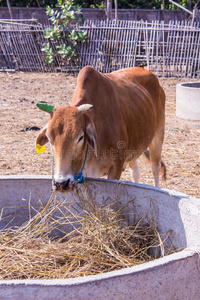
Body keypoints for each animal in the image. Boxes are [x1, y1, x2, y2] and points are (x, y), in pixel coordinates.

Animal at [36, 67, 166, 191]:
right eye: (49, 138)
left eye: (80, 137)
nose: (61, 183)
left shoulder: (116, 168)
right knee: (135, 172)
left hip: (157, 137)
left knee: (155, 168)